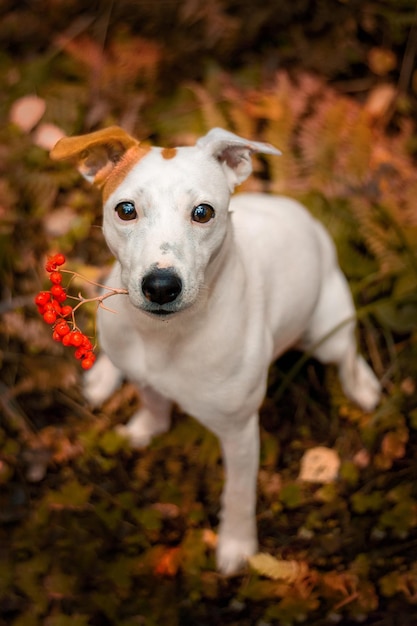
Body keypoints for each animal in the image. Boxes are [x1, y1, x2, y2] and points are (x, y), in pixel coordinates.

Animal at [50, 128, 378, 576]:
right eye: (126, 209)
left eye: (203, 212)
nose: (161, 286)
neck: (164, 336)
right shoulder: (140, 369)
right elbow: (151, 401)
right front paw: (146, 425)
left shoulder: (240, 434)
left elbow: (238, 494)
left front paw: (237, 544)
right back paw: (103, 376)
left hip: (328, 331)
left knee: (346, 354)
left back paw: (362, 385)